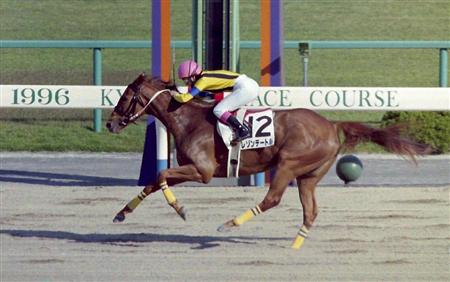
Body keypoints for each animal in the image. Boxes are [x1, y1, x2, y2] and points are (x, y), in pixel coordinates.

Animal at [106, 74, 432, 249]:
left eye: (125, 96)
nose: (110, 124)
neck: (187, 119)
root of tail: (331, 124)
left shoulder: (203, 171)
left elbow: (161, 177)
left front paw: (181, 209)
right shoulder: (191, 169)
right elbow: (153, 181)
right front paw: (121, 214)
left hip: (288, 163)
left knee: (273, 199)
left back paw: (229, 224)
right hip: (308, 175)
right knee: (311, 211)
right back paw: (294, 247)